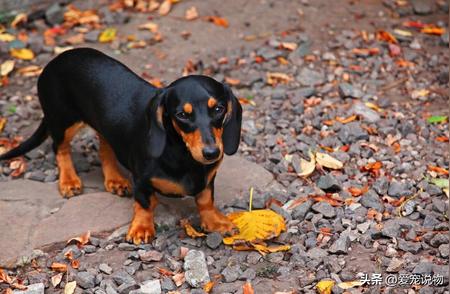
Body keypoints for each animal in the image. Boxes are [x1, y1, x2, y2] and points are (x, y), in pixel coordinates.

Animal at [0, 47, 243, 243]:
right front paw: (142, 228)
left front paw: (215, 221)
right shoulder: (142, 179)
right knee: (60, 149)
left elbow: (205, 199)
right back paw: (69, 181)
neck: (183, 155)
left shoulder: (208, 178)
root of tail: (57, 58)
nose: (212, 153)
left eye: (219, 109)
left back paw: (114, 179)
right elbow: (145, 203)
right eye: (182, 115)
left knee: (105, 147)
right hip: (64, 121)